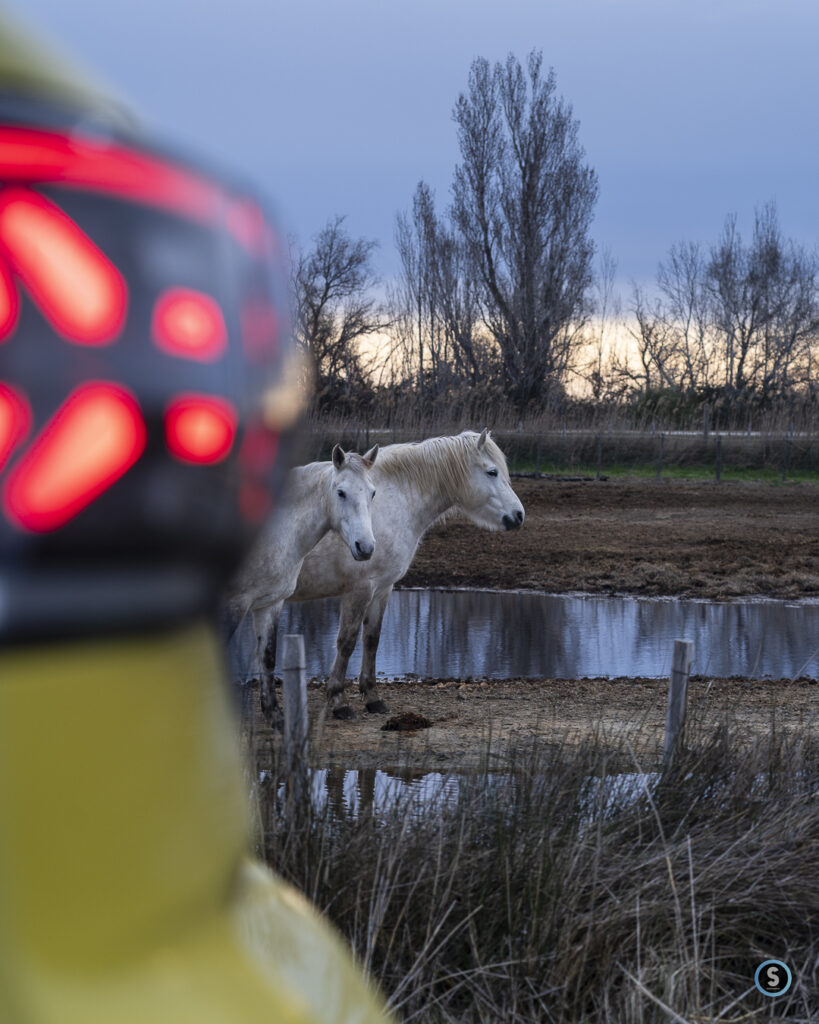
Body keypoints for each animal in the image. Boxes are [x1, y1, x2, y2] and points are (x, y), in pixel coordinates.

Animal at [224, 444, 376, 724]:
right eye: (341, 492)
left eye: (372, 492)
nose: (366, 547)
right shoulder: (233, 604)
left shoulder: (269, 604)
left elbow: (268, 656)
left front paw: (274, 714)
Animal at [288, 428, 522, 716]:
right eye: (492, 472)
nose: (518, 515)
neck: (392, 502)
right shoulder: (359, 590)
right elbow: (346, 641)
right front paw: (338, 701)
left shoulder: (382, 588)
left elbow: (372, 639)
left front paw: (373, 697)